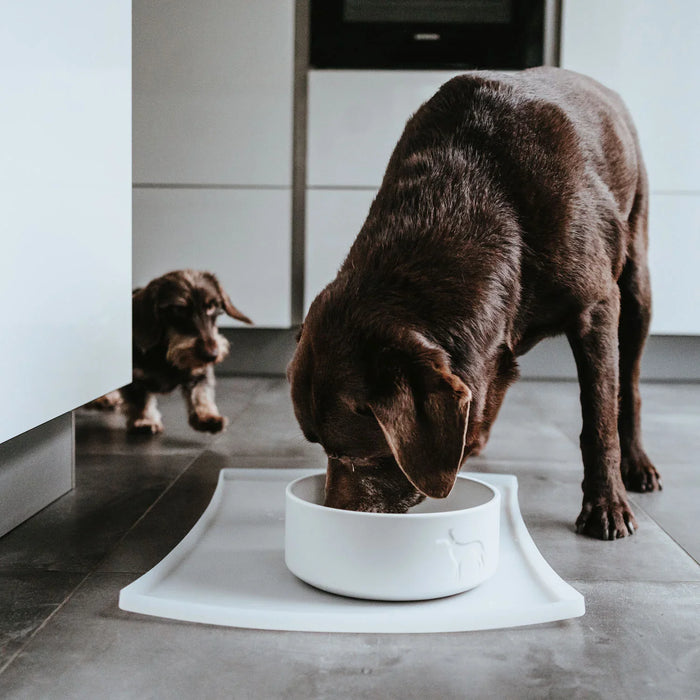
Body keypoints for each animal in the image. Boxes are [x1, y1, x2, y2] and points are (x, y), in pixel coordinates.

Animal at [87, 268, 252, 432]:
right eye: (178, 309)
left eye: (211, 307)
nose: (211, 355)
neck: (165, 354)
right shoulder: (133, 377)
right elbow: (139, 399)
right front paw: (145, 420)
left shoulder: (200, 371)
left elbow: (201, 393)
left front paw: (206, 416)